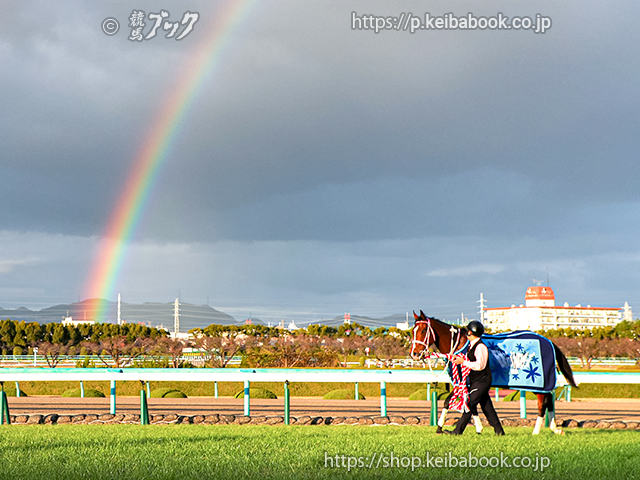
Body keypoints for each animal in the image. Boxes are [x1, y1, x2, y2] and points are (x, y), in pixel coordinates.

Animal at [412, 312, 576, 436]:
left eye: (423, 331)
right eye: (413, 330)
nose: (414, 354)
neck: (461, 344)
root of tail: (549, 341)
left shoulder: (464, 381)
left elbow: (451, 402)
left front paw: (440, 427)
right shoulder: (470, 384)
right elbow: (475, 404)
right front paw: (479, 427)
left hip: (539, 384)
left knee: (543, 404)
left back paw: (536, 431)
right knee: (549, 401)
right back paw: (555, 429)